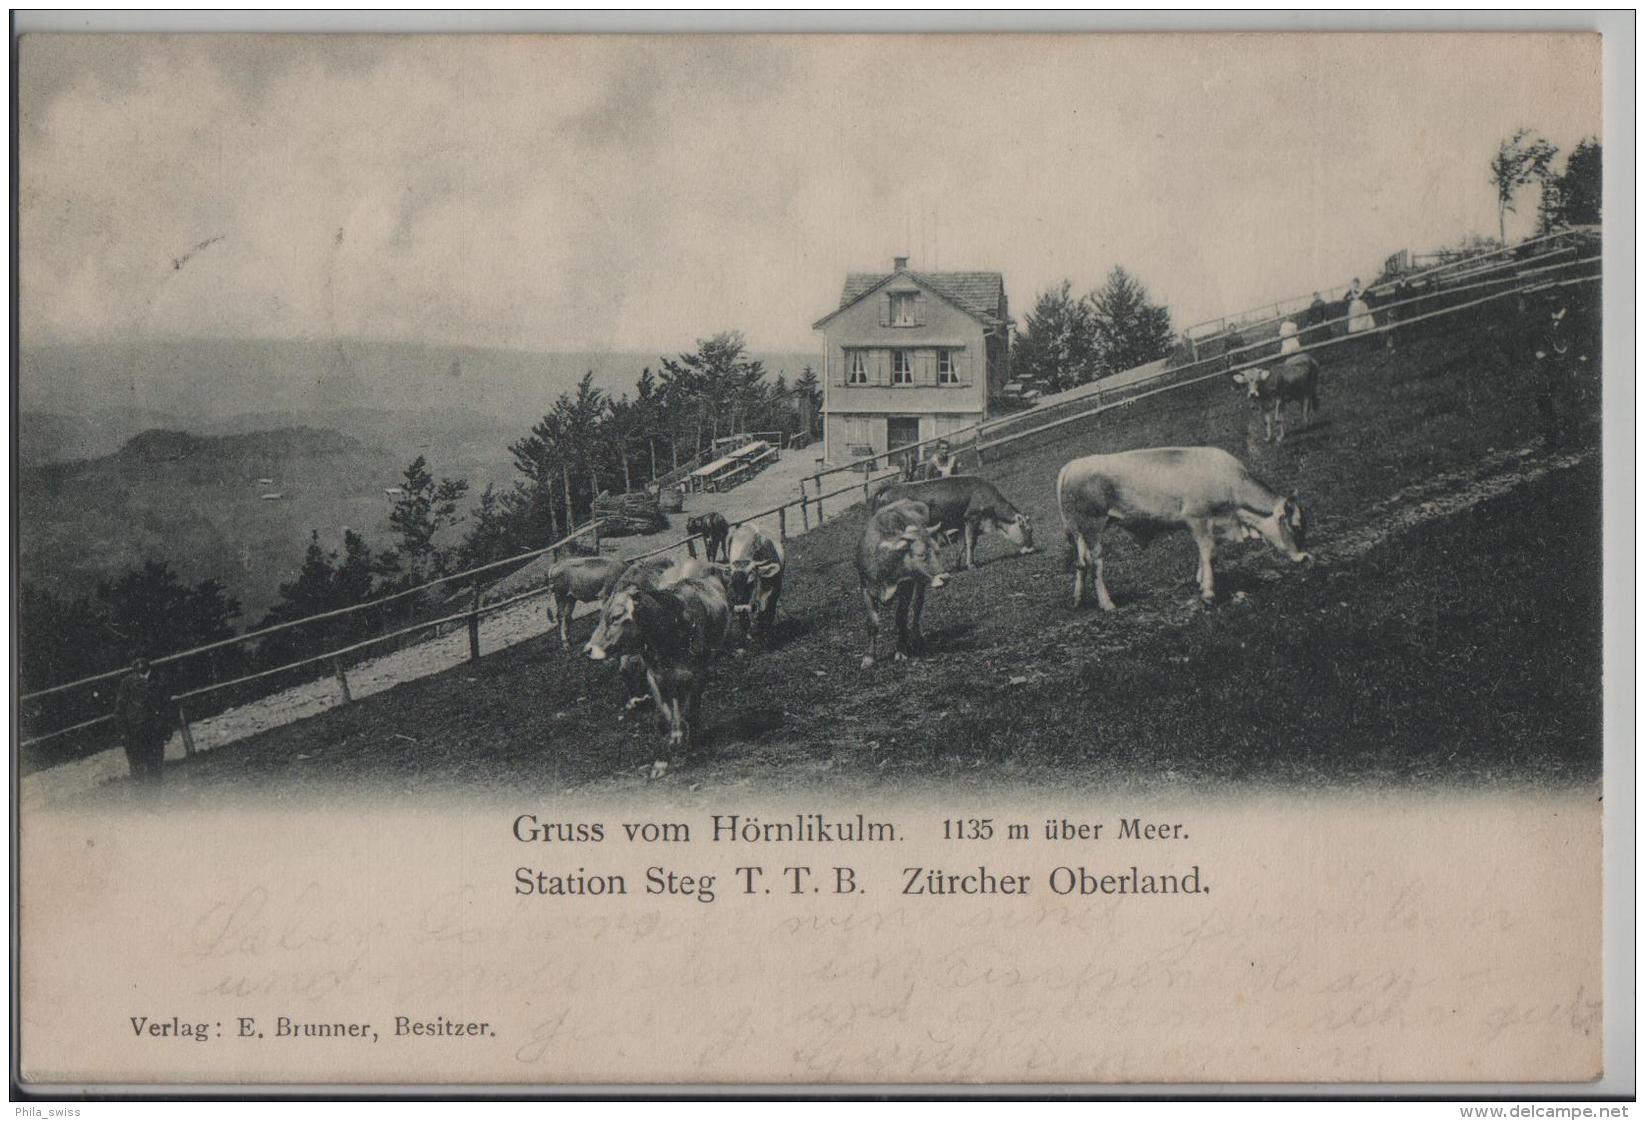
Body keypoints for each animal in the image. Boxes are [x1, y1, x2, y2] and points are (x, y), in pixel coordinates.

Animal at [582, 576, 730, 750]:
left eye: (616, 617)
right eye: (600, 617)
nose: (588, 650)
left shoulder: (697, 673)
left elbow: (689, 708)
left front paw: (688, 736)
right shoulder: (655, 675)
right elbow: (666, 707)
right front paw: (673, 735)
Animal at [855, 503, 947, 668]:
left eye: (937, 551)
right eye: (921, 554)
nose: (945, 578)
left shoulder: (906, 587)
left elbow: (901, 618)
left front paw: (901, 650)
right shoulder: (865, 588)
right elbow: (872, 622)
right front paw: (869, 657)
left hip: (920, 582)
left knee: (917, 607)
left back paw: (916, 637)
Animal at [868, 477, 1033, 572]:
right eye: (1029, 529)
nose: (1031, 548)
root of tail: (889, 487)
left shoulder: (960, 523)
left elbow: (962, 545)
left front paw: (958, 565)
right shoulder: (972, 518)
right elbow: (971, 542)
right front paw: (971, 565)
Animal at [1059, 444, 1316, 612]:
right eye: (1296, 526)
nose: (1305, 557)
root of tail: (1072, 464)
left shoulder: (1211, 524)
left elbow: (1206, 554)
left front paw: (1201, 581)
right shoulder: (1198, 518)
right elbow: (1208, 552)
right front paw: (1209, 593)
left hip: (1079, 530)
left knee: (1081, 562)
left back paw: (1078, 600)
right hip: (1093, 526)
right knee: (1096, 563)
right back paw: (1107, 604)